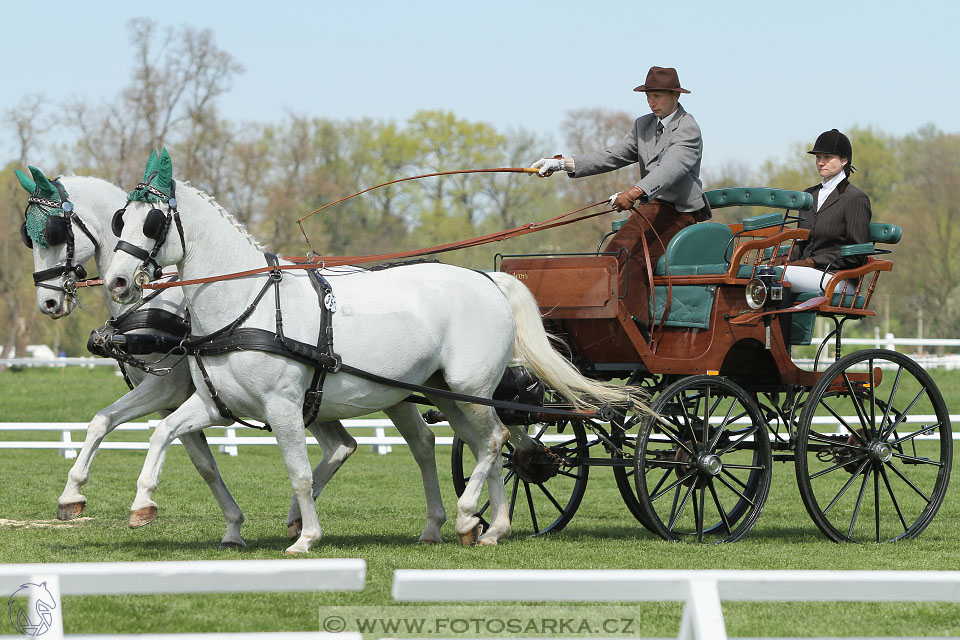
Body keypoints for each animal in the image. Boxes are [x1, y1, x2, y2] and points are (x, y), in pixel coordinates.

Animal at [16, 164, 382, 544]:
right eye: (28, 236)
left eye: (54, 232)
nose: (48, 302)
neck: (158, 301)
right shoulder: (178, 401)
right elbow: (186, 456)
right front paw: (72, 495)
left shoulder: (167, 389)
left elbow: (173, 445)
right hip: (315, 399)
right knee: (341, 445)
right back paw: (298, 515)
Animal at [103, 148, 644, 552]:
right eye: (119, 220)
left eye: (153, 222)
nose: (117, 282)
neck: (246, 305)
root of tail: (487, 279)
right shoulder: (217, 404)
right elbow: (164, 433)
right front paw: (142, 505)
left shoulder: (283, 408)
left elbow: (300, 473)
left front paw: (306, 536)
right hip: (443, 392)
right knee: (487, 444)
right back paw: (487, 528)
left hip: (470, 386)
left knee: (493, 442)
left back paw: (471, 517)